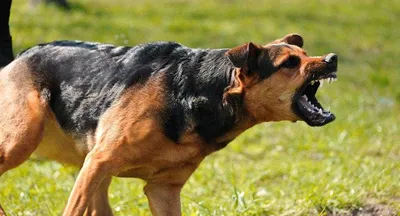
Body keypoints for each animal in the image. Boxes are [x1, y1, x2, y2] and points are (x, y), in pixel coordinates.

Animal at [0, 33, 338, 216]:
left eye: (305, 54)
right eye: (290, 63)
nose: (332, 58)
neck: (199, 92)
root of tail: (21, 55)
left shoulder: (163, 190)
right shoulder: (100, 162)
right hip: (23, 141)